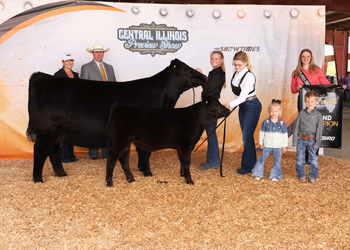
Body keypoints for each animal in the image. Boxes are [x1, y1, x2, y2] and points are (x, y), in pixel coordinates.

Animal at [28, 59, 208, 183]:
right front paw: (147, 173)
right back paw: (38, 180)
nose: (204, 76)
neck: (164, 99)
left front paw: (141, 170)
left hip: (58, 134)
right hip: (46, 132)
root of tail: (40, 76)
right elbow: (145, 152)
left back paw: (62, 174)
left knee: (54, 153)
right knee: (40, 152)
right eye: (187, 69)